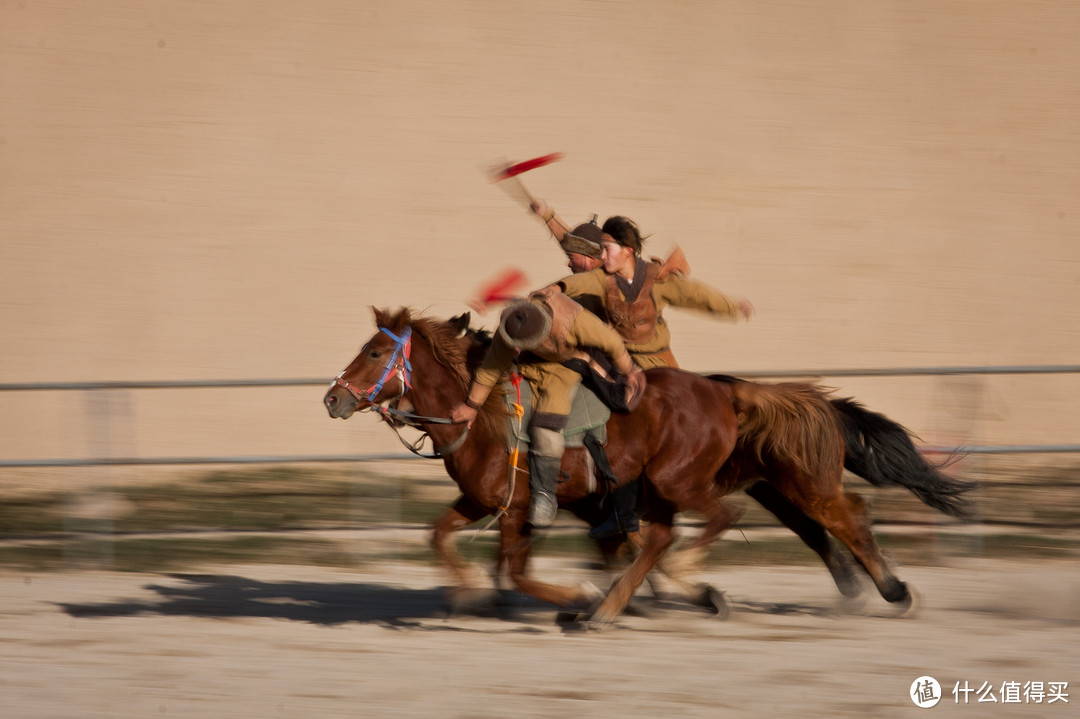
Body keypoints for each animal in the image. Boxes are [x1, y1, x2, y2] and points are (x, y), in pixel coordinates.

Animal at [324, 304, 976, 626]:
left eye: (376, 351)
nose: (332, 398)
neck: (481, 413)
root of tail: (728, 391)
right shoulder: (483, 501)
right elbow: (438, 538)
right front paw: (465, 596)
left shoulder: (519, 510)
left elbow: (520, 570)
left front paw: (576, 593)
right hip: (736, 484)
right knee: (791, 528)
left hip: (688, 480)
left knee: (810, 517)